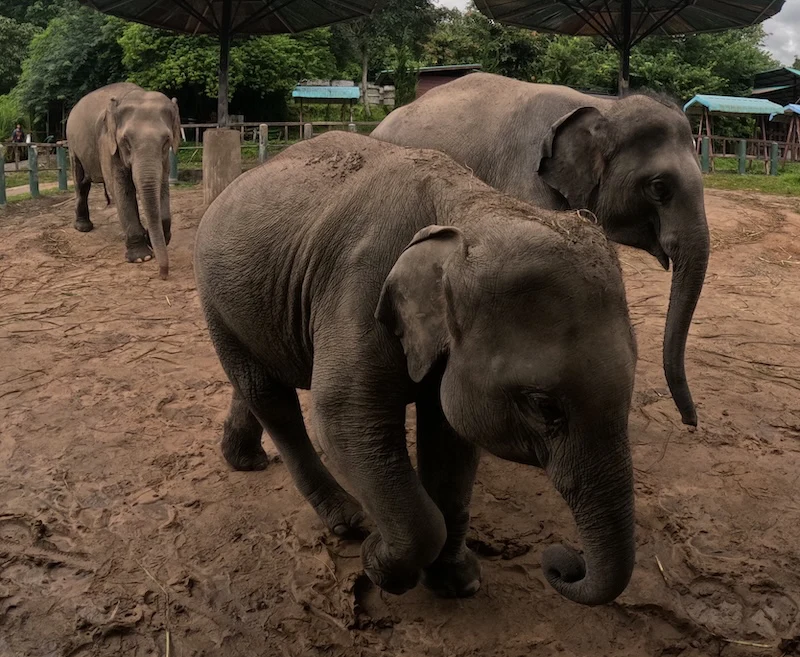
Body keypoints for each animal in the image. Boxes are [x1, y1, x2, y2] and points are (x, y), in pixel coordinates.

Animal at [66, 82, 181, 280]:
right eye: (126, 141)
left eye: (167, 140)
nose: (163, 274)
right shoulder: (108, 143)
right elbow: (121, 189)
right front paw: (142, 257)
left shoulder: (164, 158)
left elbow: (162, 185)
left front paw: (156, 238)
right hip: (73, 146)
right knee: (81, 183)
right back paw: (83, 227)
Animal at [194, 132, 638, 606]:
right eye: (543, 406)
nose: (561, 561)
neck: (469, 210)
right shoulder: (360, 288)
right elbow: (343, 417)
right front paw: (380, 566)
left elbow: (450, 437)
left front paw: (458, 583)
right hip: (214, 294)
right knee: (270, 397)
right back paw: (349, 521)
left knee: (254, 383)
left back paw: (246, 460)